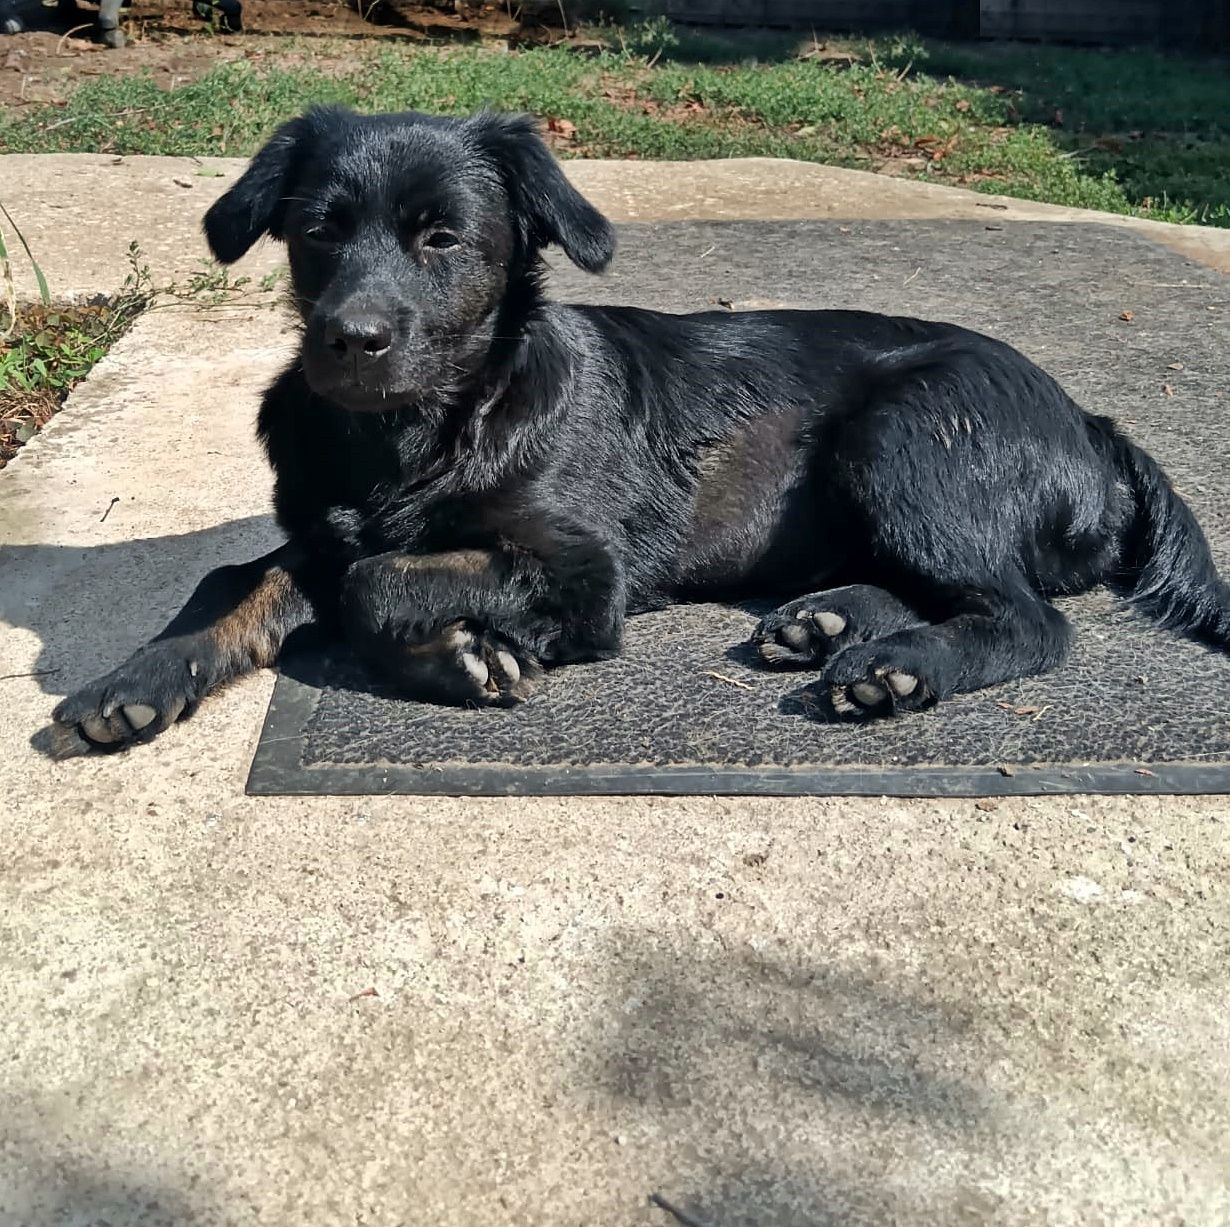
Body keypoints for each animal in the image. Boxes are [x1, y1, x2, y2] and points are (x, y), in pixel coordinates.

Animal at [51, 105, 1230, 752]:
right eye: (315, 233)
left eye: (443, 238)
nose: (350, 340)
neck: (428, 430)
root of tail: (1093, 423)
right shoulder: (318, 523)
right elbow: (236, 580)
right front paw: (134, 681)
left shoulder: (585, 572)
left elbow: (375, 580)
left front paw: (459, 653)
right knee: (953, 586)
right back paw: (832, 625)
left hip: (903, 433)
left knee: (1027, 617)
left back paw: (899, 666)